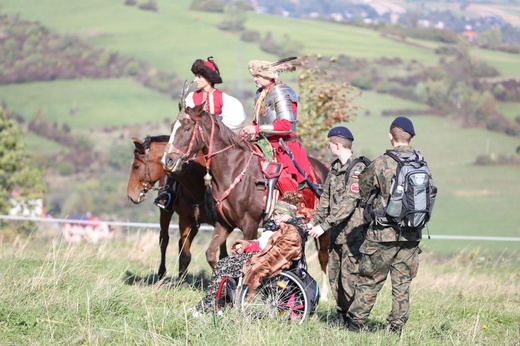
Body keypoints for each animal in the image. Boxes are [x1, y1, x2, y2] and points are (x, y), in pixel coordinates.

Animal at [127, 134, 238, 282]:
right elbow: (185, 254)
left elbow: (222, 253)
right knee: (165, 240)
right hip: (167, 213)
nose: (130, 195)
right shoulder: (185, 219)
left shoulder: (221, 221)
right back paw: (163, 274)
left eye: (136, 166)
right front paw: (183, 282)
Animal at [165, 103, 332, 298]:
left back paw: (324, 294)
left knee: (323, 256)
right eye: (172, 127)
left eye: (187, 128)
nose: (168, 160)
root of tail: (323, 170)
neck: (233, 169)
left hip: (322, 229)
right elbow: (213, 254)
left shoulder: (249, 225)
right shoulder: (224, 224)